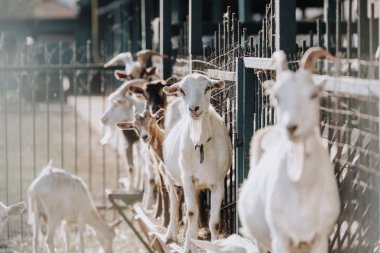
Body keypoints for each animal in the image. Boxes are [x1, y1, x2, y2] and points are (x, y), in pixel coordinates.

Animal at [161, 73, 232, 253]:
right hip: (169, 172)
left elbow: (214, 223)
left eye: (207, 88)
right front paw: (187, 247)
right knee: (174, 200)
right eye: (182, 90)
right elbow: (192, 213)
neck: (200, 143)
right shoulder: (187, 178)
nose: (193, 109)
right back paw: (170, 235)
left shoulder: (218, 182)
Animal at [238, 48, 342, 253]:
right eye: (277, 97)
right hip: (260, 240)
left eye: (312, 95)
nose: (291, 127)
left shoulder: (321, 238)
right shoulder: (280, 238)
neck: (302, 187)